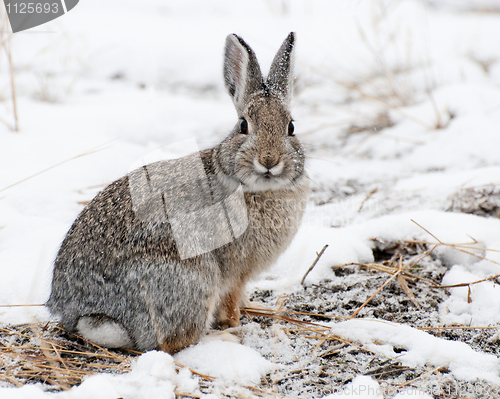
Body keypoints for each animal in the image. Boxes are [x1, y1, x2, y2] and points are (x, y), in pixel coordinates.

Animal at [49, 32, 308, 354]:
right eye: (243, 125)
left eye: (291, 127)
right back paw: (222, 339)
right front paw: (236, 325)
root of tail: (80, 310)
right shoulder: (234, 274)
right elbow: (231, 304)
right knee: (174, 342)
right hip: (190, 281)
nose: (269, 161)